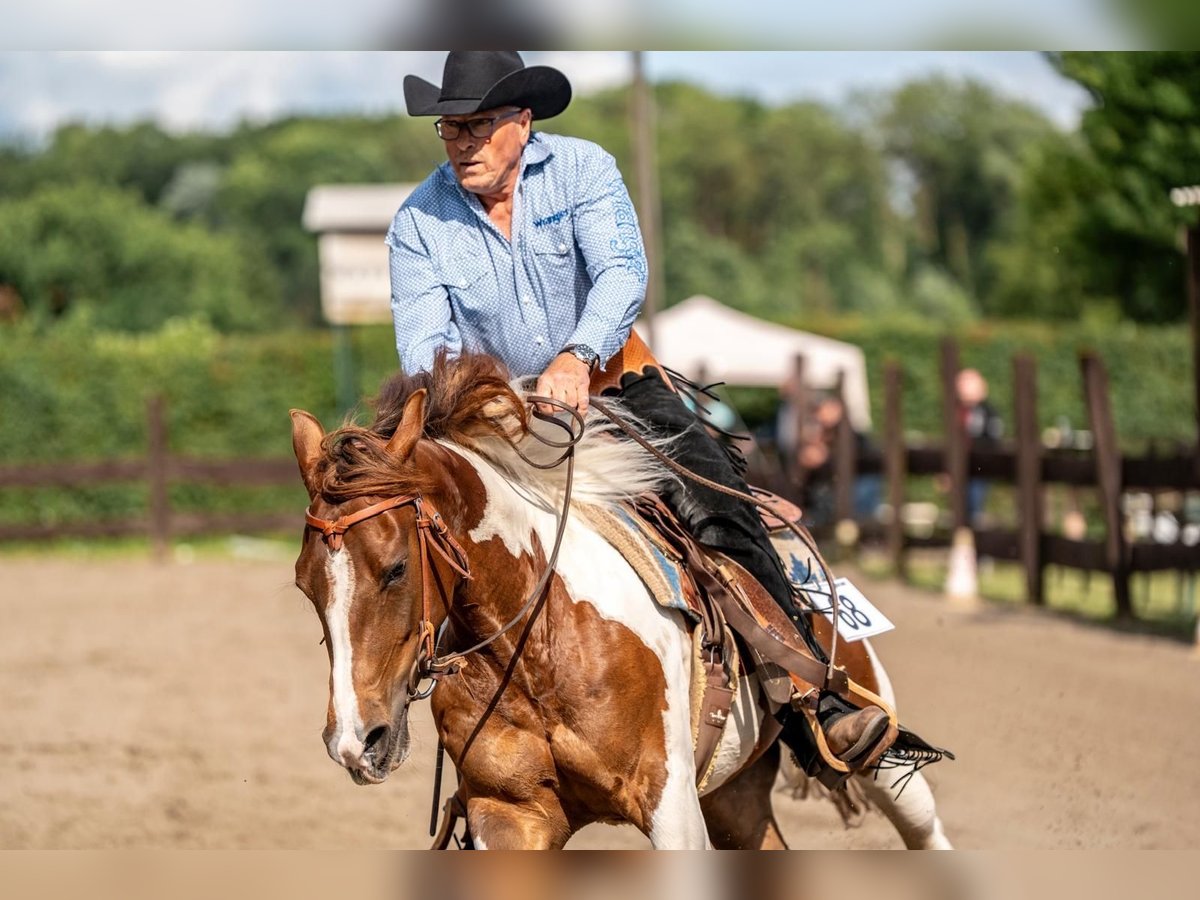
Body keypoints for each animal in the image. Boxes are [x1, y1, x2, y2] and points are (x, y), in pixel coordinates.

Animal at [289, 351, 952, 849]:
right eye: (304, 584)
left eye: (397, 568)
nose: (355, 742)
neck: (538, 649)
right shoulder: (510, 816)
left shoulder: (671, 808)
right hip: (735, 796)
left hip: (878, 747)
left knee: (921, 826)